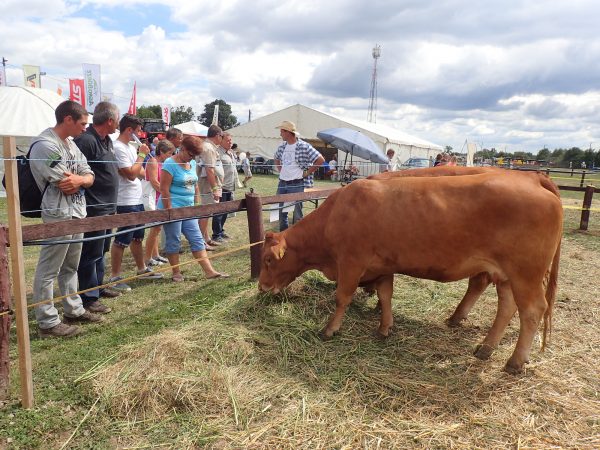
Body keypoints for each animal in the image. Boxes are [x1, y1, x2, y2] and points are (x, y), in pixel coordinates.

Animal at [258, 170, 564, 372]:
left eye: (268, 260)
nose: (261, 287)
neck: (337, 213)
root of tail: (532, 178)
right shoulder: (381, 266)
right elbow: (385, 296)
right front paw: (385, 327)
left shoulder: (351, 263)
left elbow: (342, 297)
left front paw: (330, 329)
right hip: (506, 275)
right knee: (507, 307)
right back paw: (486, 348)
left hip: (526, 274)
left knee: (532, 310)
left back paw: (514, 361)